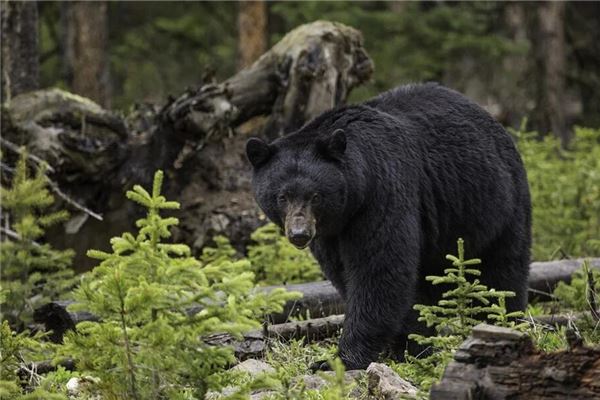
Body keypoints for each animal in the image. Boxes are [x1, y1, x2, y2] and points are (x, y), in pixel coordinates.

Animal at [244, 83, 528, 370]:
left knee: (502, 271)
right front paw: (408, 344)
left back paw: (502, 321)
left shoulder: (382, 193)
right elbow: (346, 272)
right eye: (282, 196)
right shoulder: (331, 233)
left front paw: (340, 359)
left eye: (315, 196)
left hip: (497, 204)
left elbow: (378, 269)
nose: (299, 234)